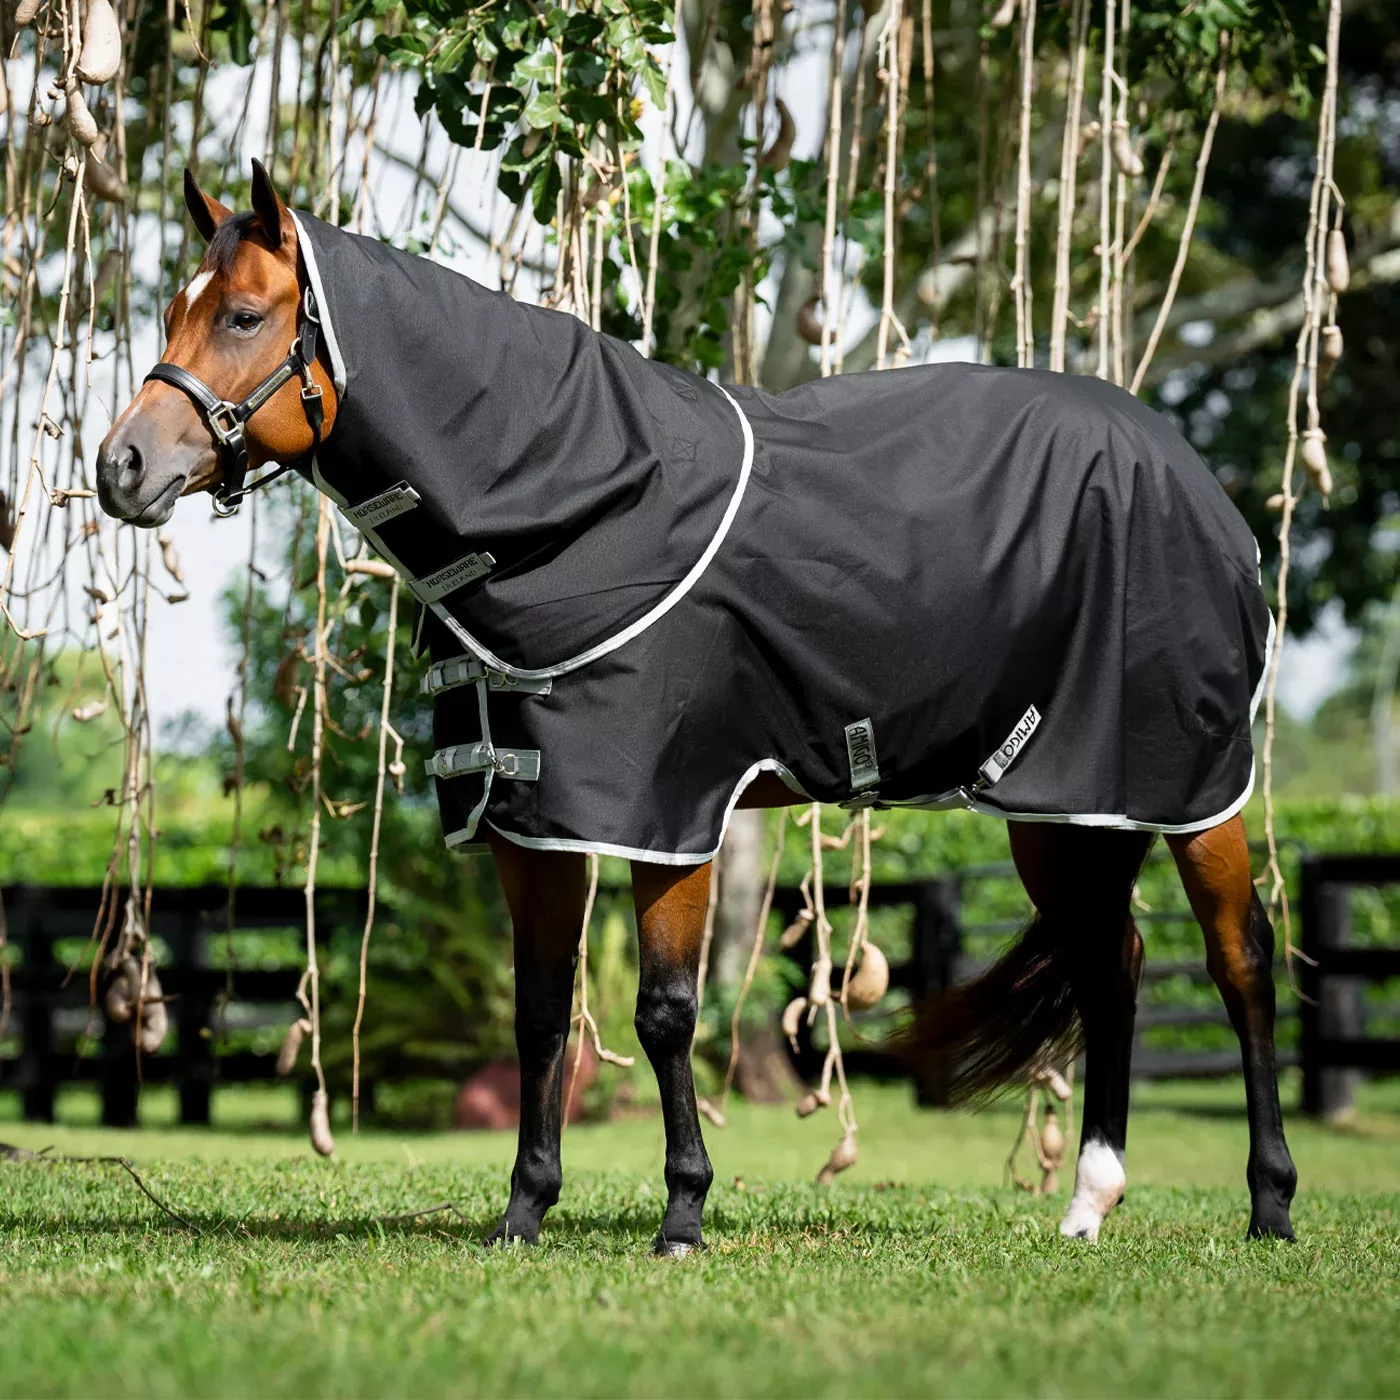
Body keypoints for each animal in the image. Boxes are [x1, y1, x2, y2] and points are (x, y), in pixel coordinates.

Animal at [95, 161, 1297, 1254]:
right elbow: (542, 1013)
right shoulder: (535, 823)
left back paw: (1270, 1205)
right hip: (1064, 802)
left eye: (244, 315)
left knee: (1239, 961)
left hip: (1191, 789)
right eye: (174, 311)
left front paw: (682, 1214)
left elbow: (664, 1011)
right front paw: (523, 1212)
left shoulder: (667, 814)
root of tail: (1188, 473)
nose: (122, 465)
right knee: (1110, 964)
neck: (579, 501)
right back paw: (1089, 1200)